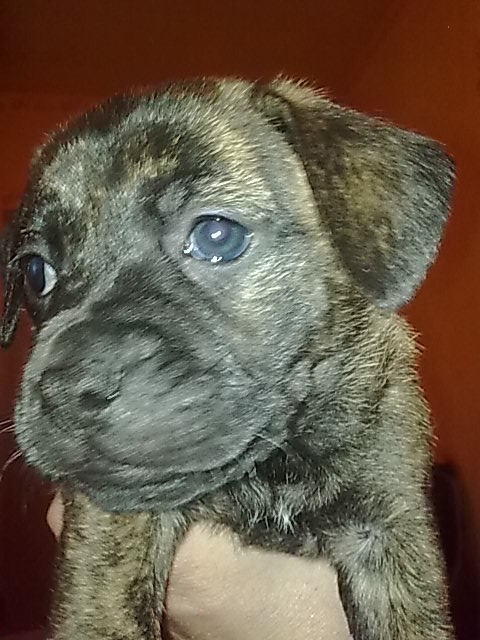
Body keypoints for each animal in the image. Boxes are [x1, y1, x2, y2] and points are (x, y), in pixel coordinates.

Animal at [0, 78, 455, 639]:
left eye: (217, 235)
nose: (65, 390)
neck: (275, 465)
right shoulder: (114, 521)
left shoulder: (390, 529)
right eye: (35, 273)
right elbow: (104, 614)